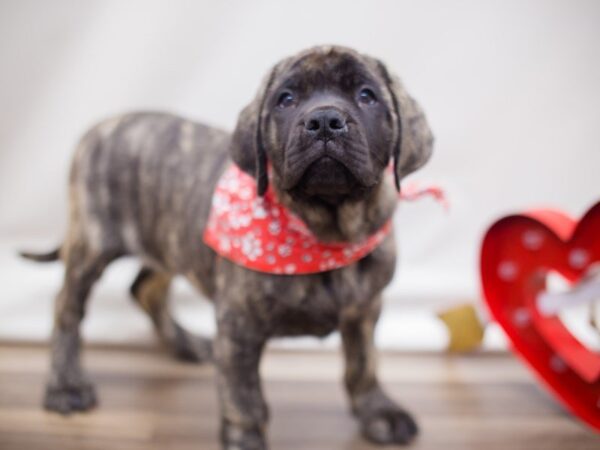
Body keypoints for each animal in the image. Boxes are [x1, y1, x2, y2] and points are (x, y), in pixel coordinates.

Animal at [22, 44, 432, 446]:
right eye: (286, 99)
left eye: (367, 95)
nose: (325, 121)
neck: (327, 233)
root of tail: (101, 126)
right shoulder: (238, 323)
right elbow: (244, 394)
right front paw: (245, 438)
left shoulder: (365, 310)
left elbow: (363, 365)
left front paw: (379, 411)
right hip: (92, 245)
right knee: (67, 309)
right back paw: (65, 386)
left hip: (169, 240)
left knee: (145, 289)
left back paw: (187, 345)